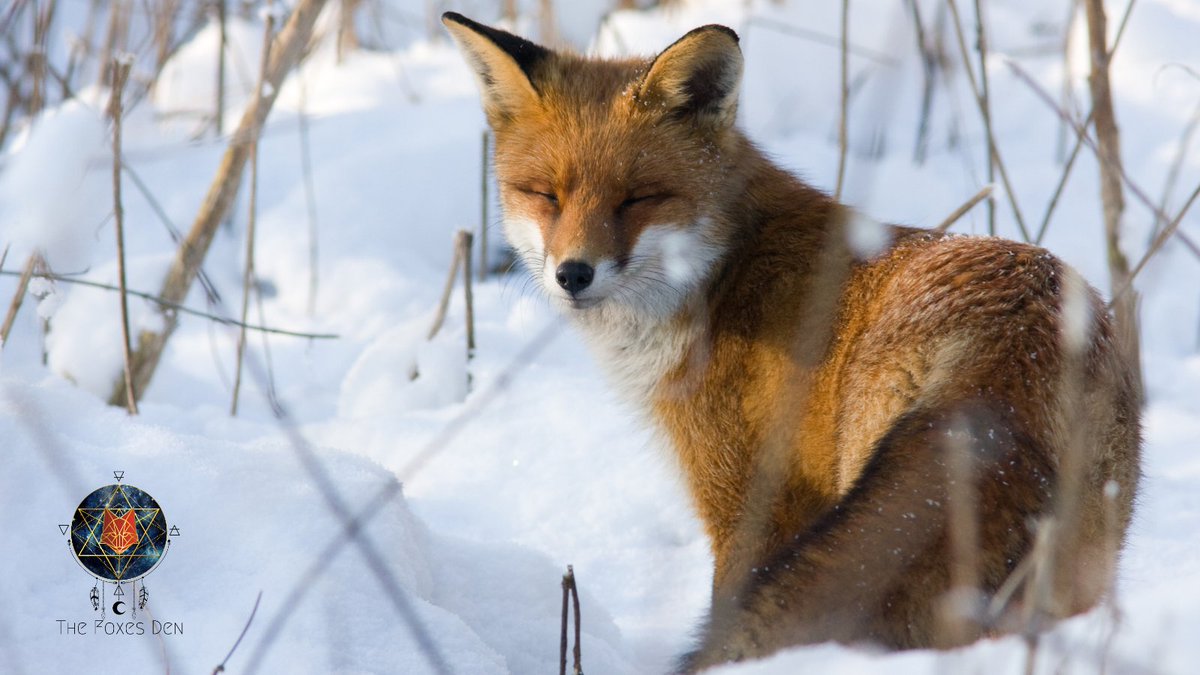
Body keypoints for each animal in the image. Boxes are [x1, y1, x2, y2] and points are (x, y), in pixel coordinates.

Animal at [442, 12, 1141, 672]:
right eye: (546, 195)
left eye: (637, 198)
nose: (573, 274)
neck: (721, 274)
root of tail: (1020, 331)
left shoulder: (749, 503)